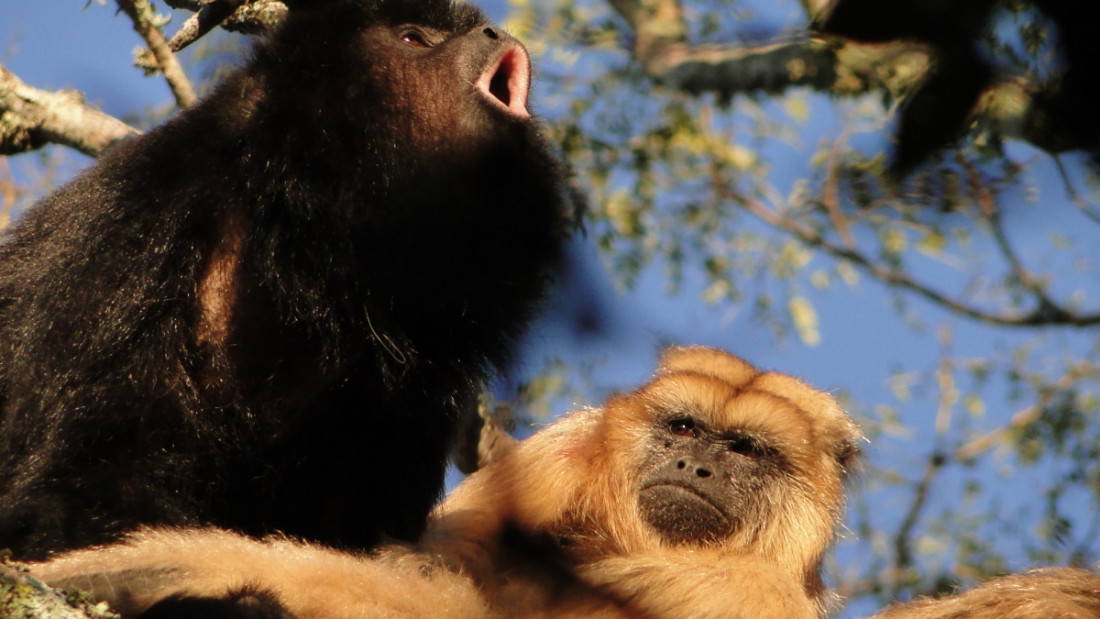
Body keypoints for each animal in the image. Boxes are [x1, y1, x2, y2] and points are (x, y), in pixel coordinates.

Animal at [30, 349, 862, 619]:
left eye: (746, 449)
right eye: (684, 430)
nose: (696, 466)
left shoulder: (763, 595)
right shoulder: (555, 457)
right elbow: (440, 558)